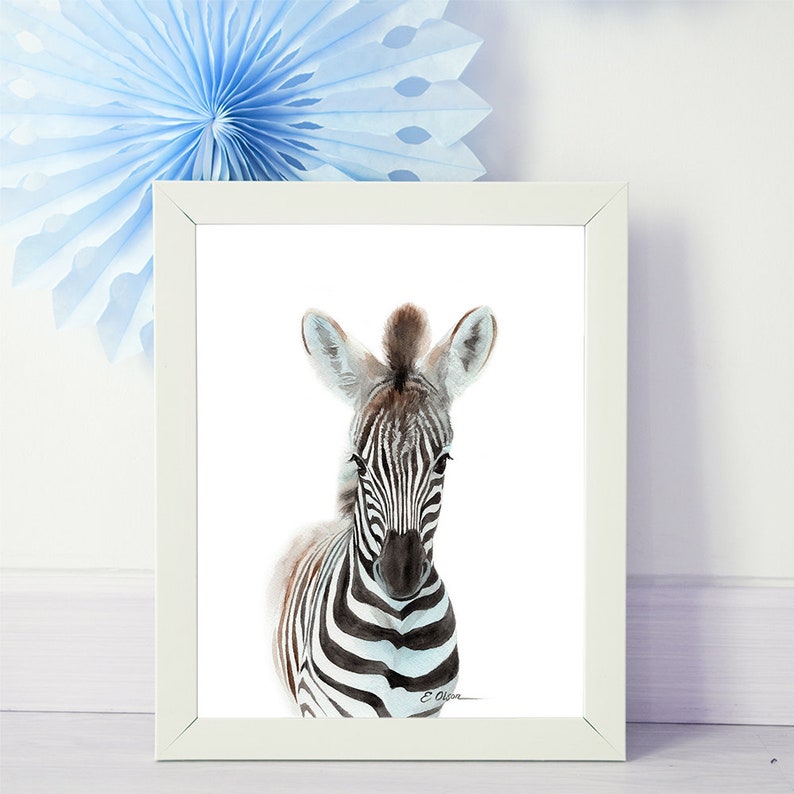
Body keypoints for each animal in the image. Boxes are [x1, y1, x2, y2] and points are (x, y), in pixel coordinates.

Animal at [273, 303, 496, 718]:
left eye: (442, 462)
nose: (400, 576)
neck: (398, 629)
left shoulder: (428, 711)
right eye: (359, 463)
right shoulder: (318, 707)